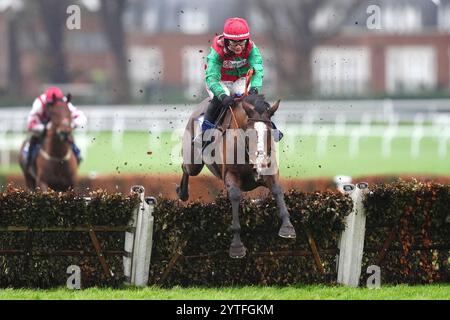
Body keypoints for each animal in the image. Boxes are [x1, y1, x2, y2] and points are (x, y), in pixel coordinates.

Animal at [178, 94, 298, 258]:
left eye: (269, 133)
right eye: (249, 134)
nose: (261, 162)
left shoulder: (270, 172)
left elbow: (277, 190)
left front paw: (287, 227)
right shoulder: (231, 174)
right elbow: (235, 196)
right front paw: (236, 246)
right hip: (193, 161)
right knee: (185, 167)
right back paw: (182, 193)